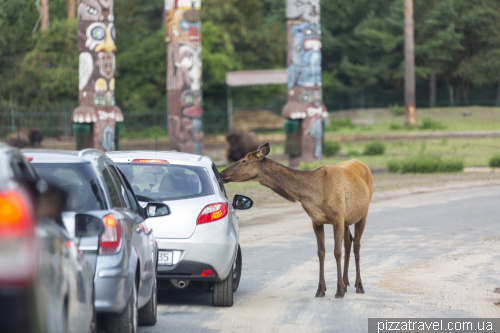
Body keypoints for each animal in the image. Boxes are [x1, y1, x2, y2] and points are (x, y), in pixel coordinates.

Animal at [221, 141, 374, 296]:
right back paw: (346, 282)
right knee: (348, 243)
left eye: (243, 161)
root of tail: (361, 162)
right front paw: (321, 289)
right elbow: (321, 252)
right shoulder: (316, 221)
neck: (314, 195)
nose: (221, 173)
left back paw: (358, 285)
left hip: (364, 213)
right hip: (348, 219)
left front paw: (339, 290)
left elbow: (337, 252)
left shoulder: (337, 217)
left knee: (356, 246)